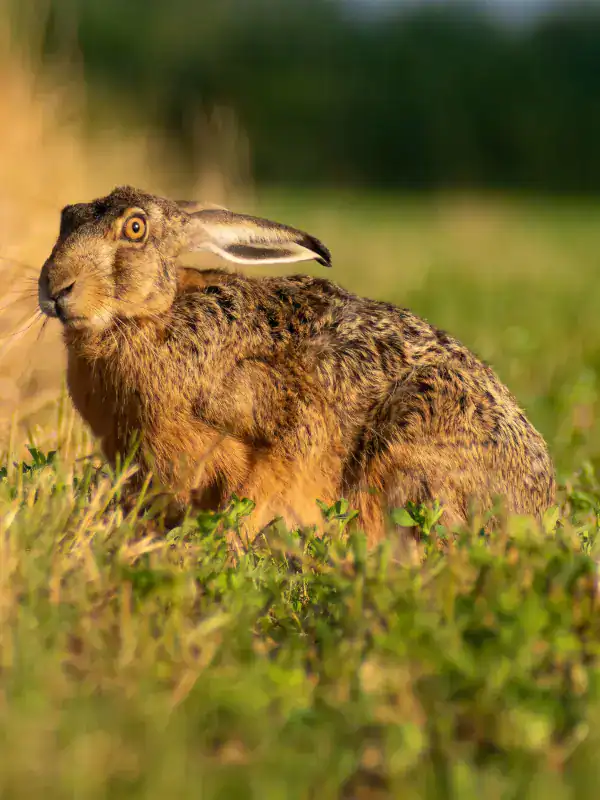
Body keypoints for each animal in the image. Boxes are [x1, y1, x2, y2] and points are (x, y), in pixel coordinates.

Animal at [38, 186, 555, 543]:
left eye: (135, 228)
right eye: (65, 217)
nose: (56, 287)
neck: (155, 315)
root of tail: (536, 510)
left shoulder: (283, 416)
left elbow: (266, 482)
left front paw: (224, 543)